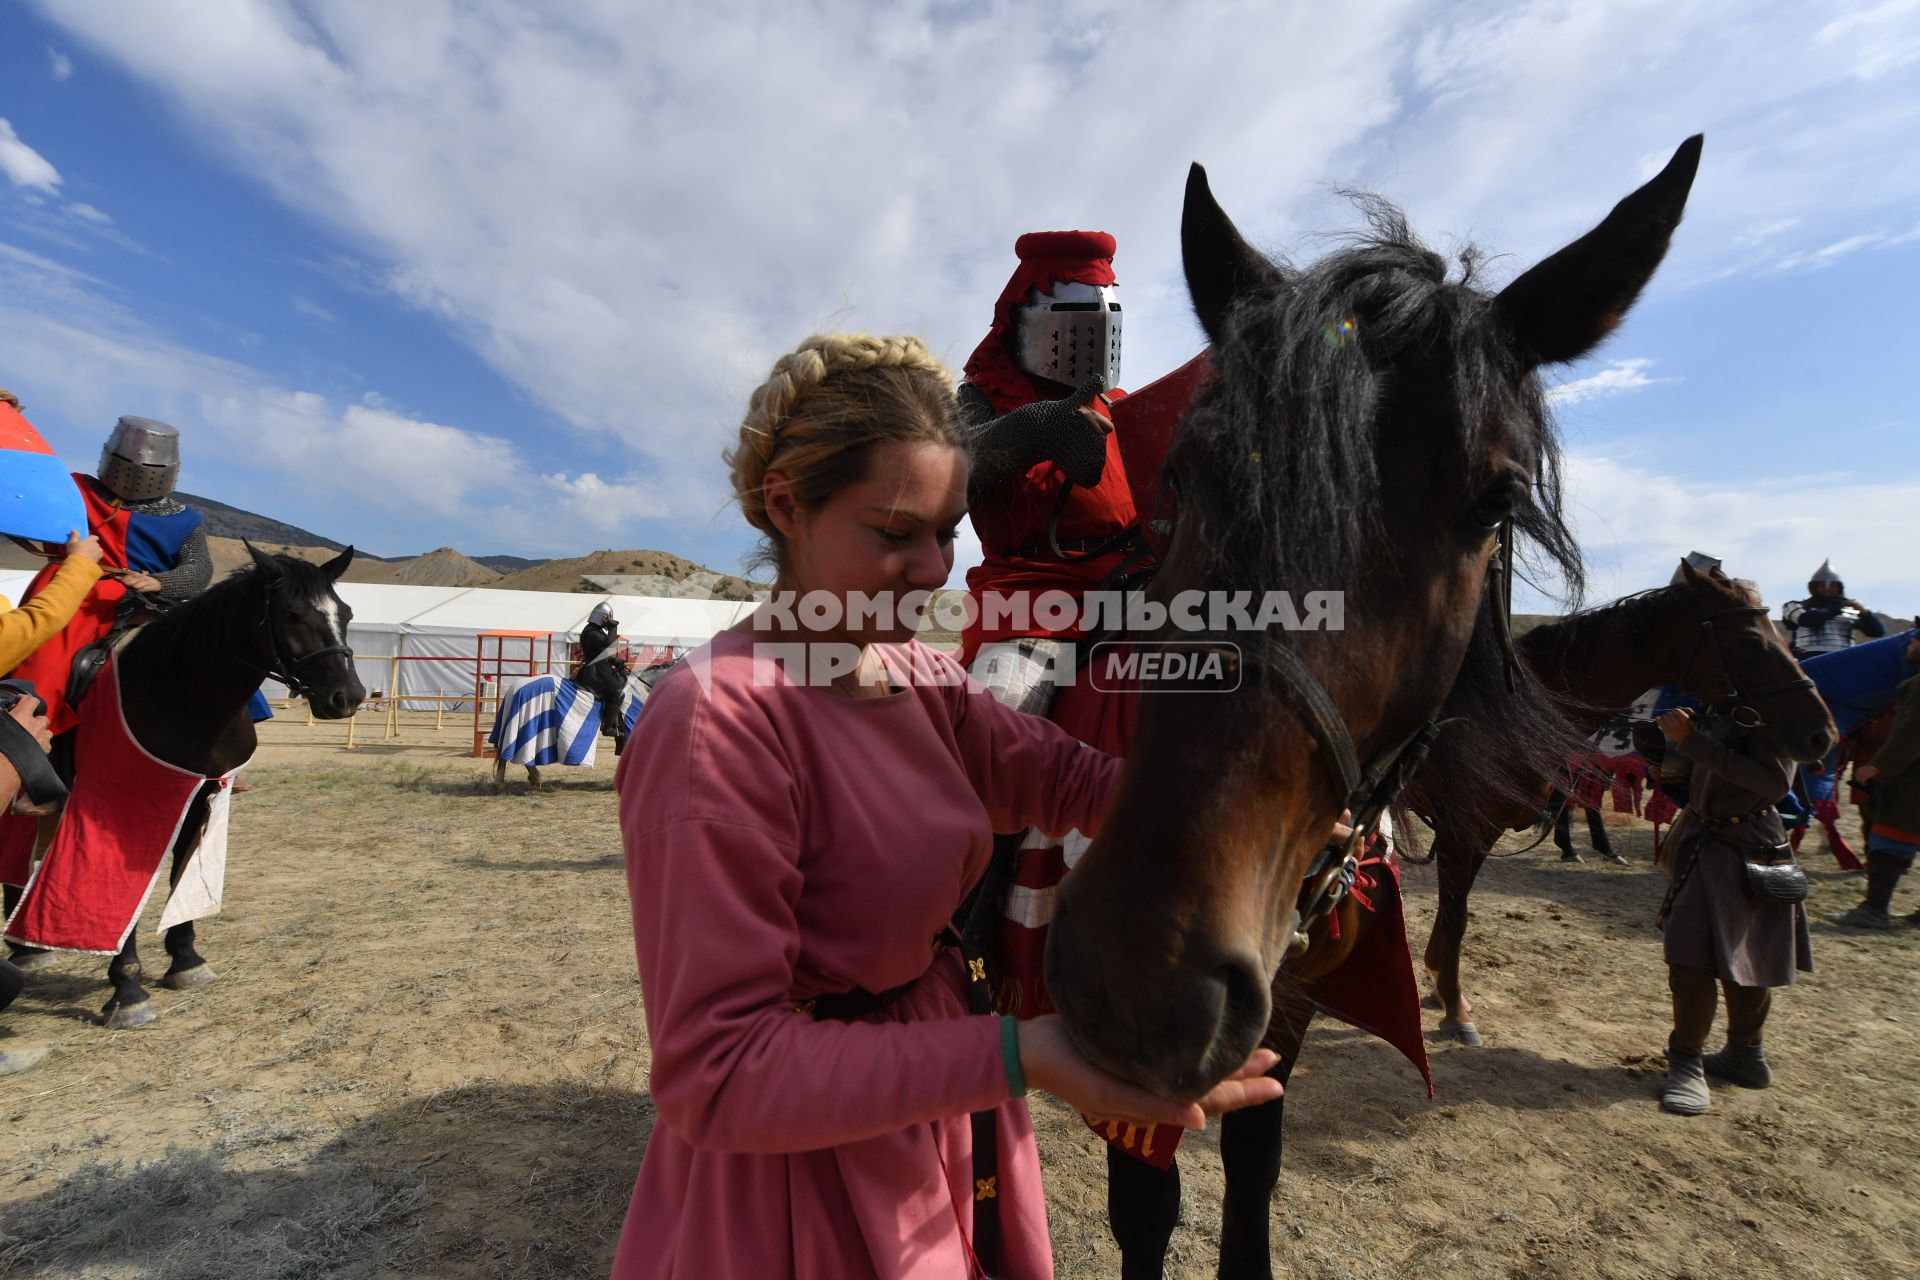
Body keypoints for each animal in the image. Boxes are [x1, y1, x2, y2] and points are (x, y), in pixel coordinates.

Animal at [11, 545, 364, 1028]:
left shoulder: (203, 792)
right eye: (292, 614)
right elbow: (122, 884)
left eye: (345, 613)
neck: (181, 690)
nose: (347, 697)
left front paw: (185, 959)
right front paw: (127, 988)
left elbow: (184, 865)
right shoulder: (119, 798)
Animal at [1044, 135, 1704, 1274]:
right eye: (1186, 470)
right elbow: (1145, 1213)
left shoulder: (1285, 1006)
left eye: (1492, 500)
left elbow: (1254, 1175)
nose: (1139, 968)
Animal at [1420, 564, 1835, 1043]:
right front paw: (1455, 1009)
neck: (1509, 709)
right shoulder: (1460, 829)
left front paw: (1441, 985)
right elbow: (1456, 915)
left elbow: (1456, 912)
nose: (1822, 734)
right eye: (1750, 640)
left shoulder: (1482, 832)